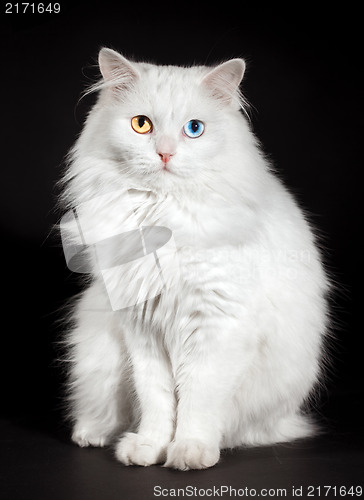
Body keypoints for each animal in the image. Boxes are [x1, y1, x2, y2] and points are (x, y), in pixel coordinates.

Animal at [61, 47, 332, 468]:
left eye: (194, 129)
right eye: (141, 125)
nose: (165, 153)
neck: (162, 216)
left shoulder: (216, 327)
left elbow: (197, 400)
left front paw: (189, 450)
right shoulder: (142, 330)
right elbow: (156, 400)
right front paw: (148, 446)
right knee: (103, 412)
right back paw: (94, 435)